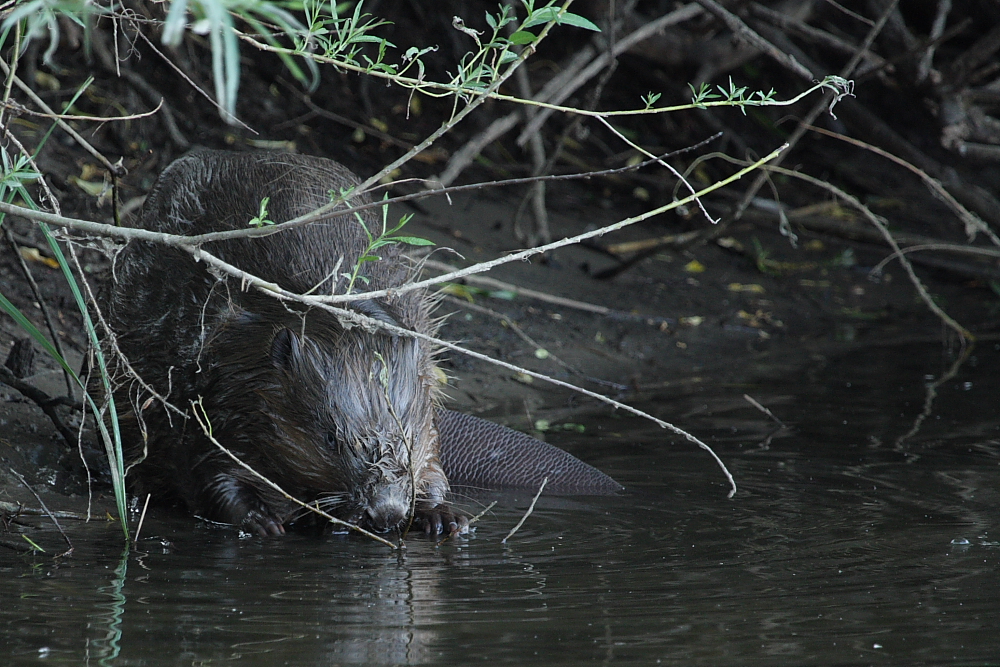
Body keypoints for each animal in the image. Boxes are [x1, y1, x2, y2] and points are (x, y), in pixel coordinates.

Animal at [99, 150, 616, 536]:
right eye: (329, 438)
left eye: (405, 437)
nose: (386, 512)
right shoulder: (214, 381)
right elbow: (207, 471)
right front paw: (263, 521)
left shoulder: (425, 402)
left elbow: (434, 466)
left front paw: (445, 517)